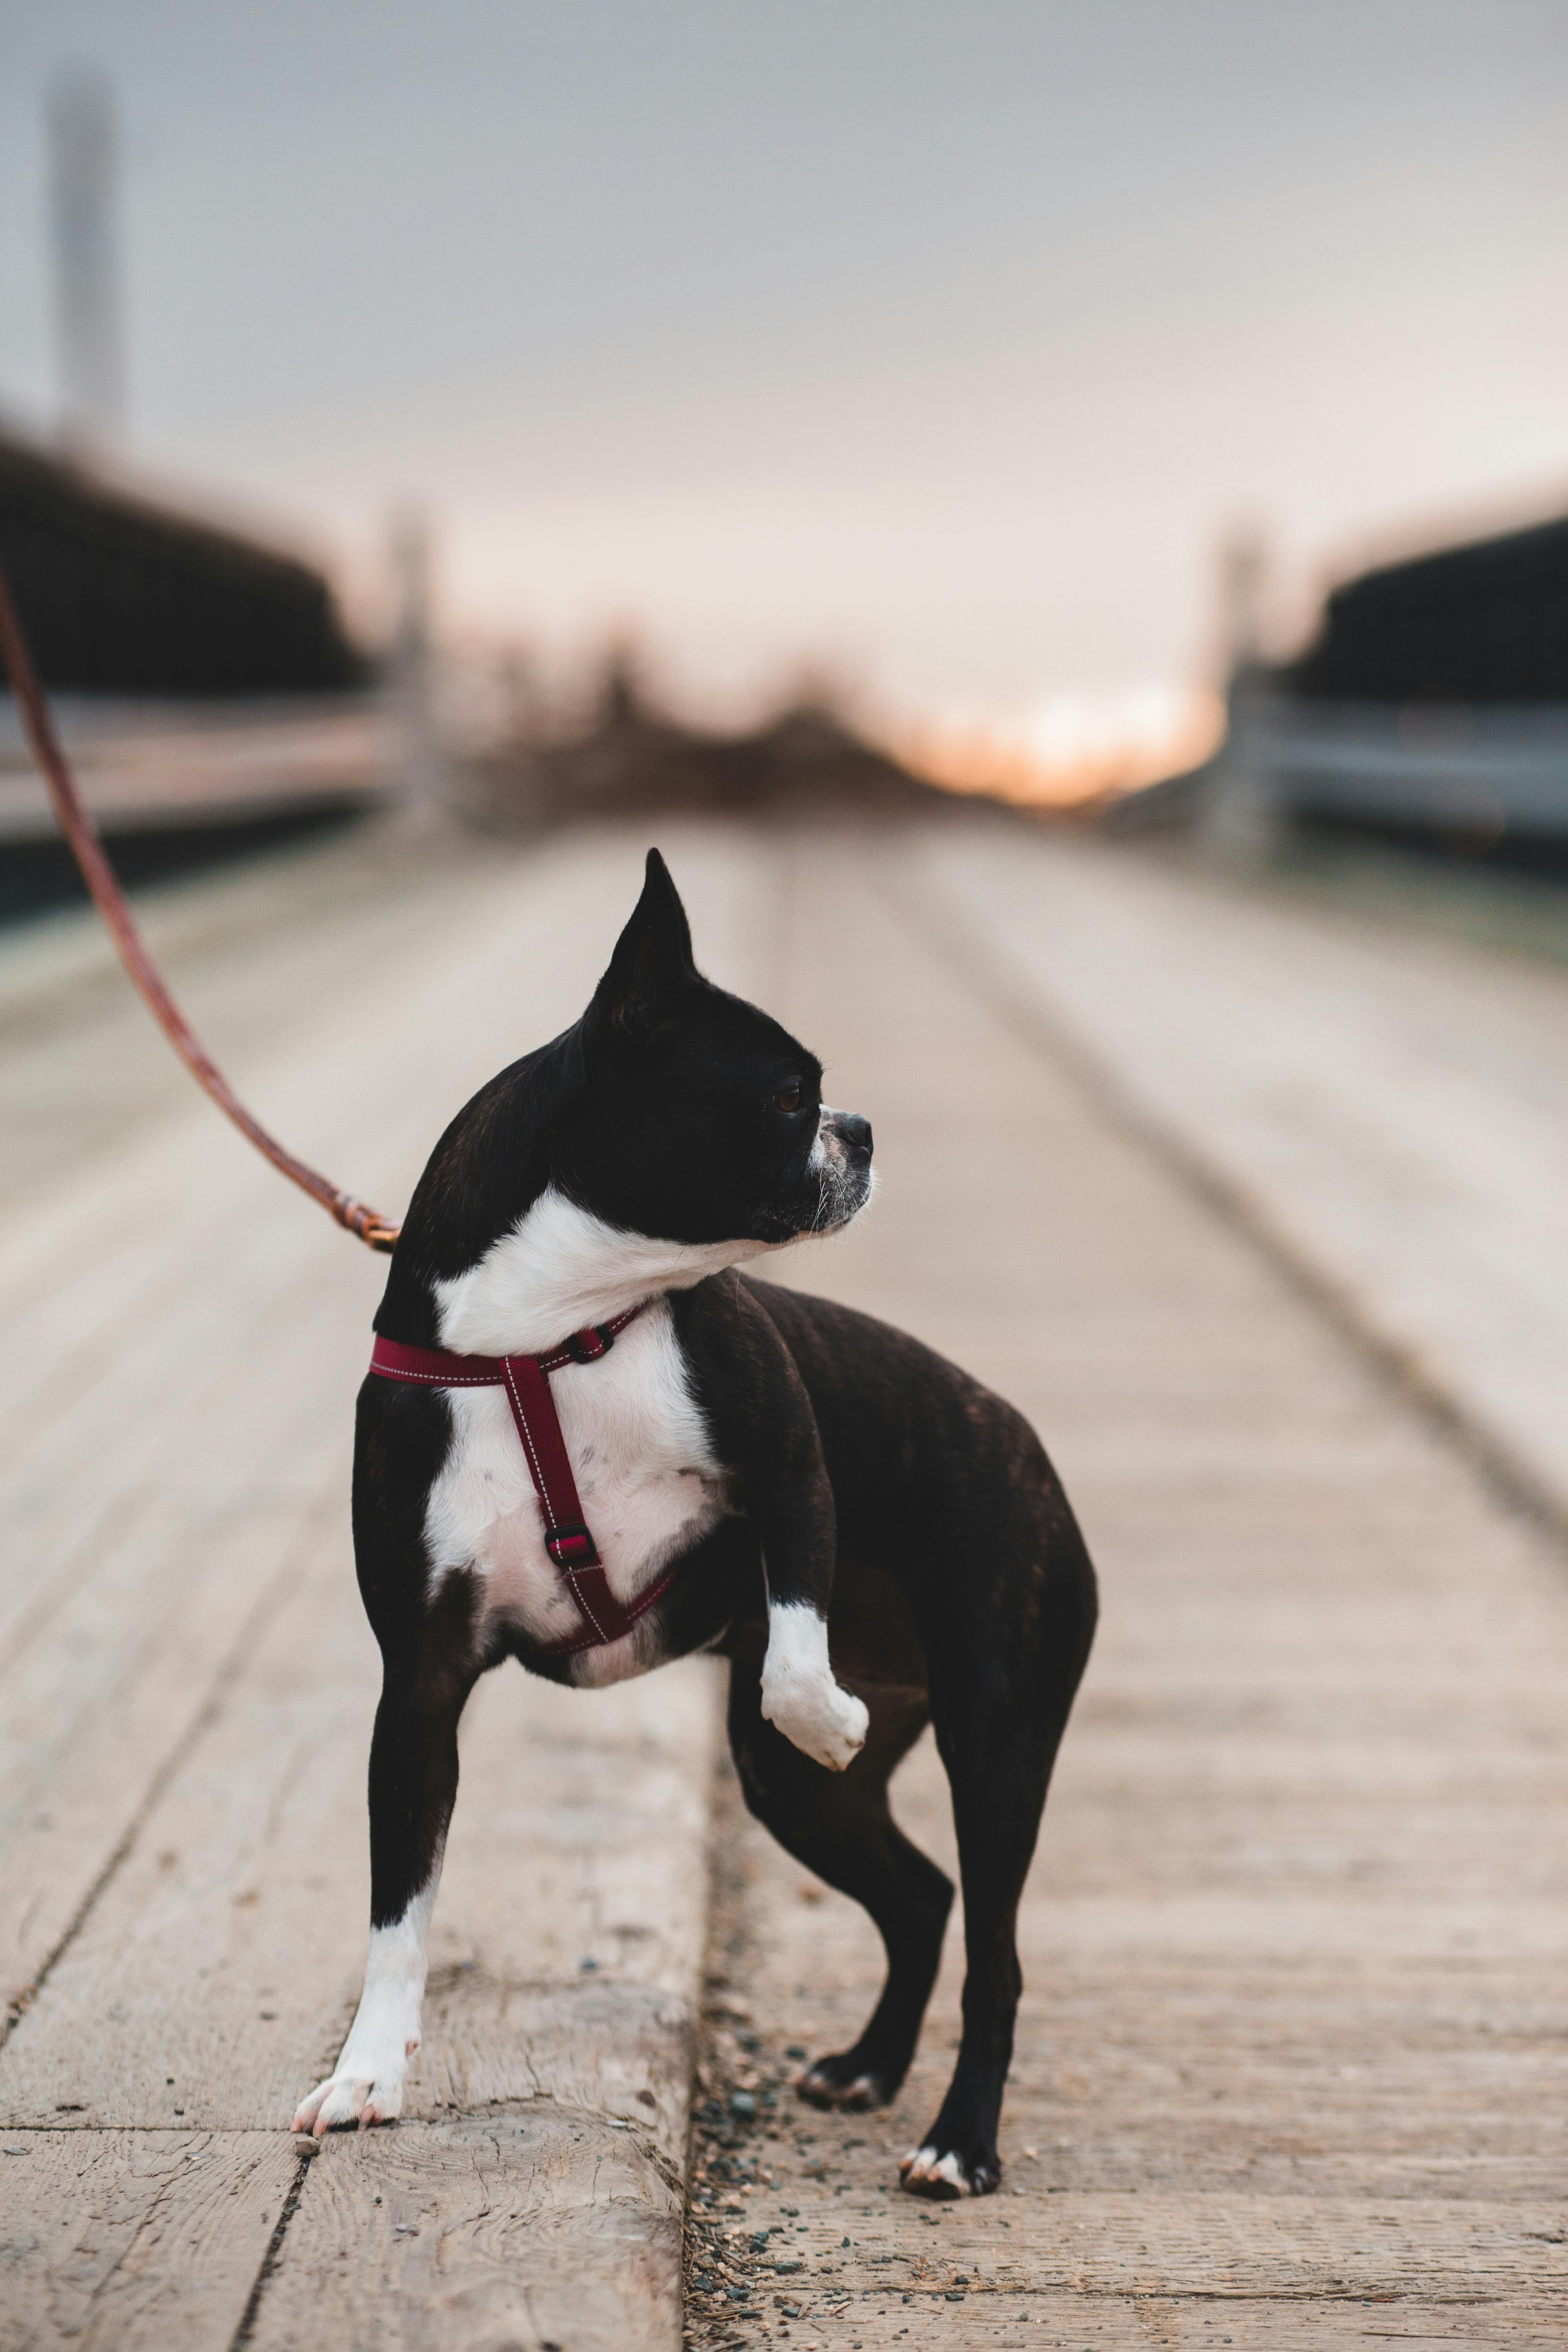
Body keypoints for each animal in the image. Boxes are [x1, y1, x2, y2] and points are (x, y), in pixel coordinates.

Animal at [297, 851, 1105, 2201]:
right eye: (787, 1097)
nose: (861, 1129)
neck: (546, 1336)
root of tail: (1031, 1446)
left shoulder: (791, 1465)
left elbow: (793, 1641)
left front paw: (825, 1708)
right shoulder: (419, 1685)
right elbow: (396, 1912)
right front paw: (367, 2075)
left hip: (996, 1737)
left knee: (994, 1948)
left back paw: (959, 2142)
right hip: (806, 1800)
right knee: (924, 1899)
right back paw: (870, 2067)